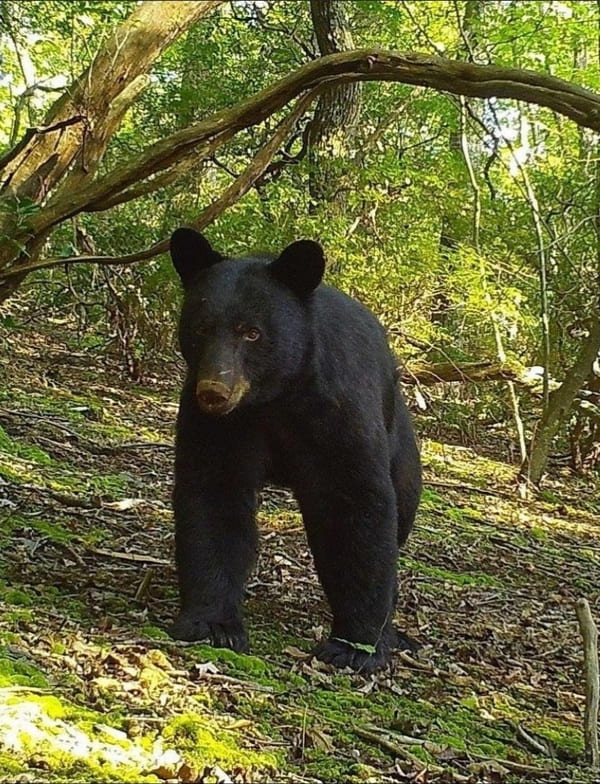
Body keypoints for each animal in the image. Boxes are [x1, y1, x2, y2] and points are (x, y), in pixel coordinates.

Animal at [169, 227, 422, 672]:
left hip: (403, 455)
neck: (276, 396)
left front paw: (354, 646)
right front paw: (212, 623)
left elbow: (356, 505)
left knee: (399, 517)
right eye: (200, 328)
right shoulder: (223, 427)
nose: (214, 391)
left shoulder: (336, 412)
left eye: (251, 332)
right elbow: (214, 497)